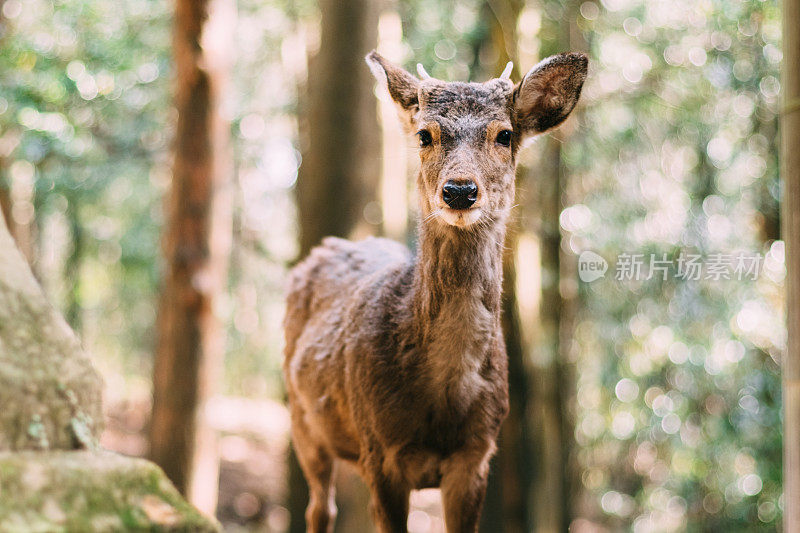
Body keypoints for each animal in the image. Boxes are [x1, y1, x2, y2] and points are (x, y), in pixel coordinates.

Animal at [282, 51, 588, 532]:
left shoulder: (476, 456)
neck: (443, 401)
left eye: (504, 134)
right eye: (425, 134)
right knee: (320, 507)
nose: (459, 190)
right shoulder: (381, 452)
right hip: (301, 418)